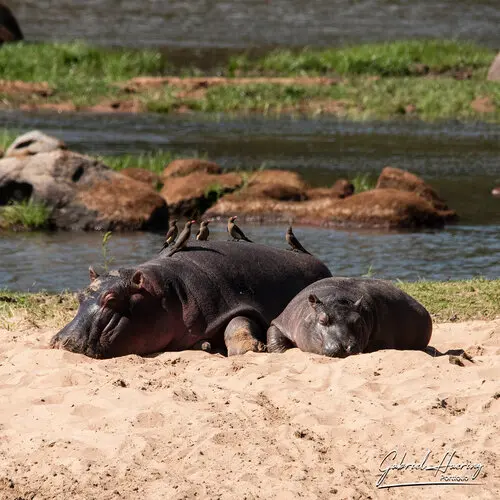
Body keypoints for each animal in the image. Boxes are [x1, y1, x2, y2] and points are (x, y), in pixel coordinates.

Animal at [50, 240, 332, 358]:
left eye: (110, 299)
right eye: (79, 295)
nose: (63, 340)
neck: (164, 293)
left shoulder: (232, 302)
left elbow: (238, 323)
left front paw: (250, 348)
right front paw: (206, 346)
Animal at [268, 278, 432, 356]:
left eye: (358, 321)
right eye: (322, 319)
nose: (344, 346)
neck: (336, 297)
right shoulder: (283, 321)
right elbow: (274, 335)